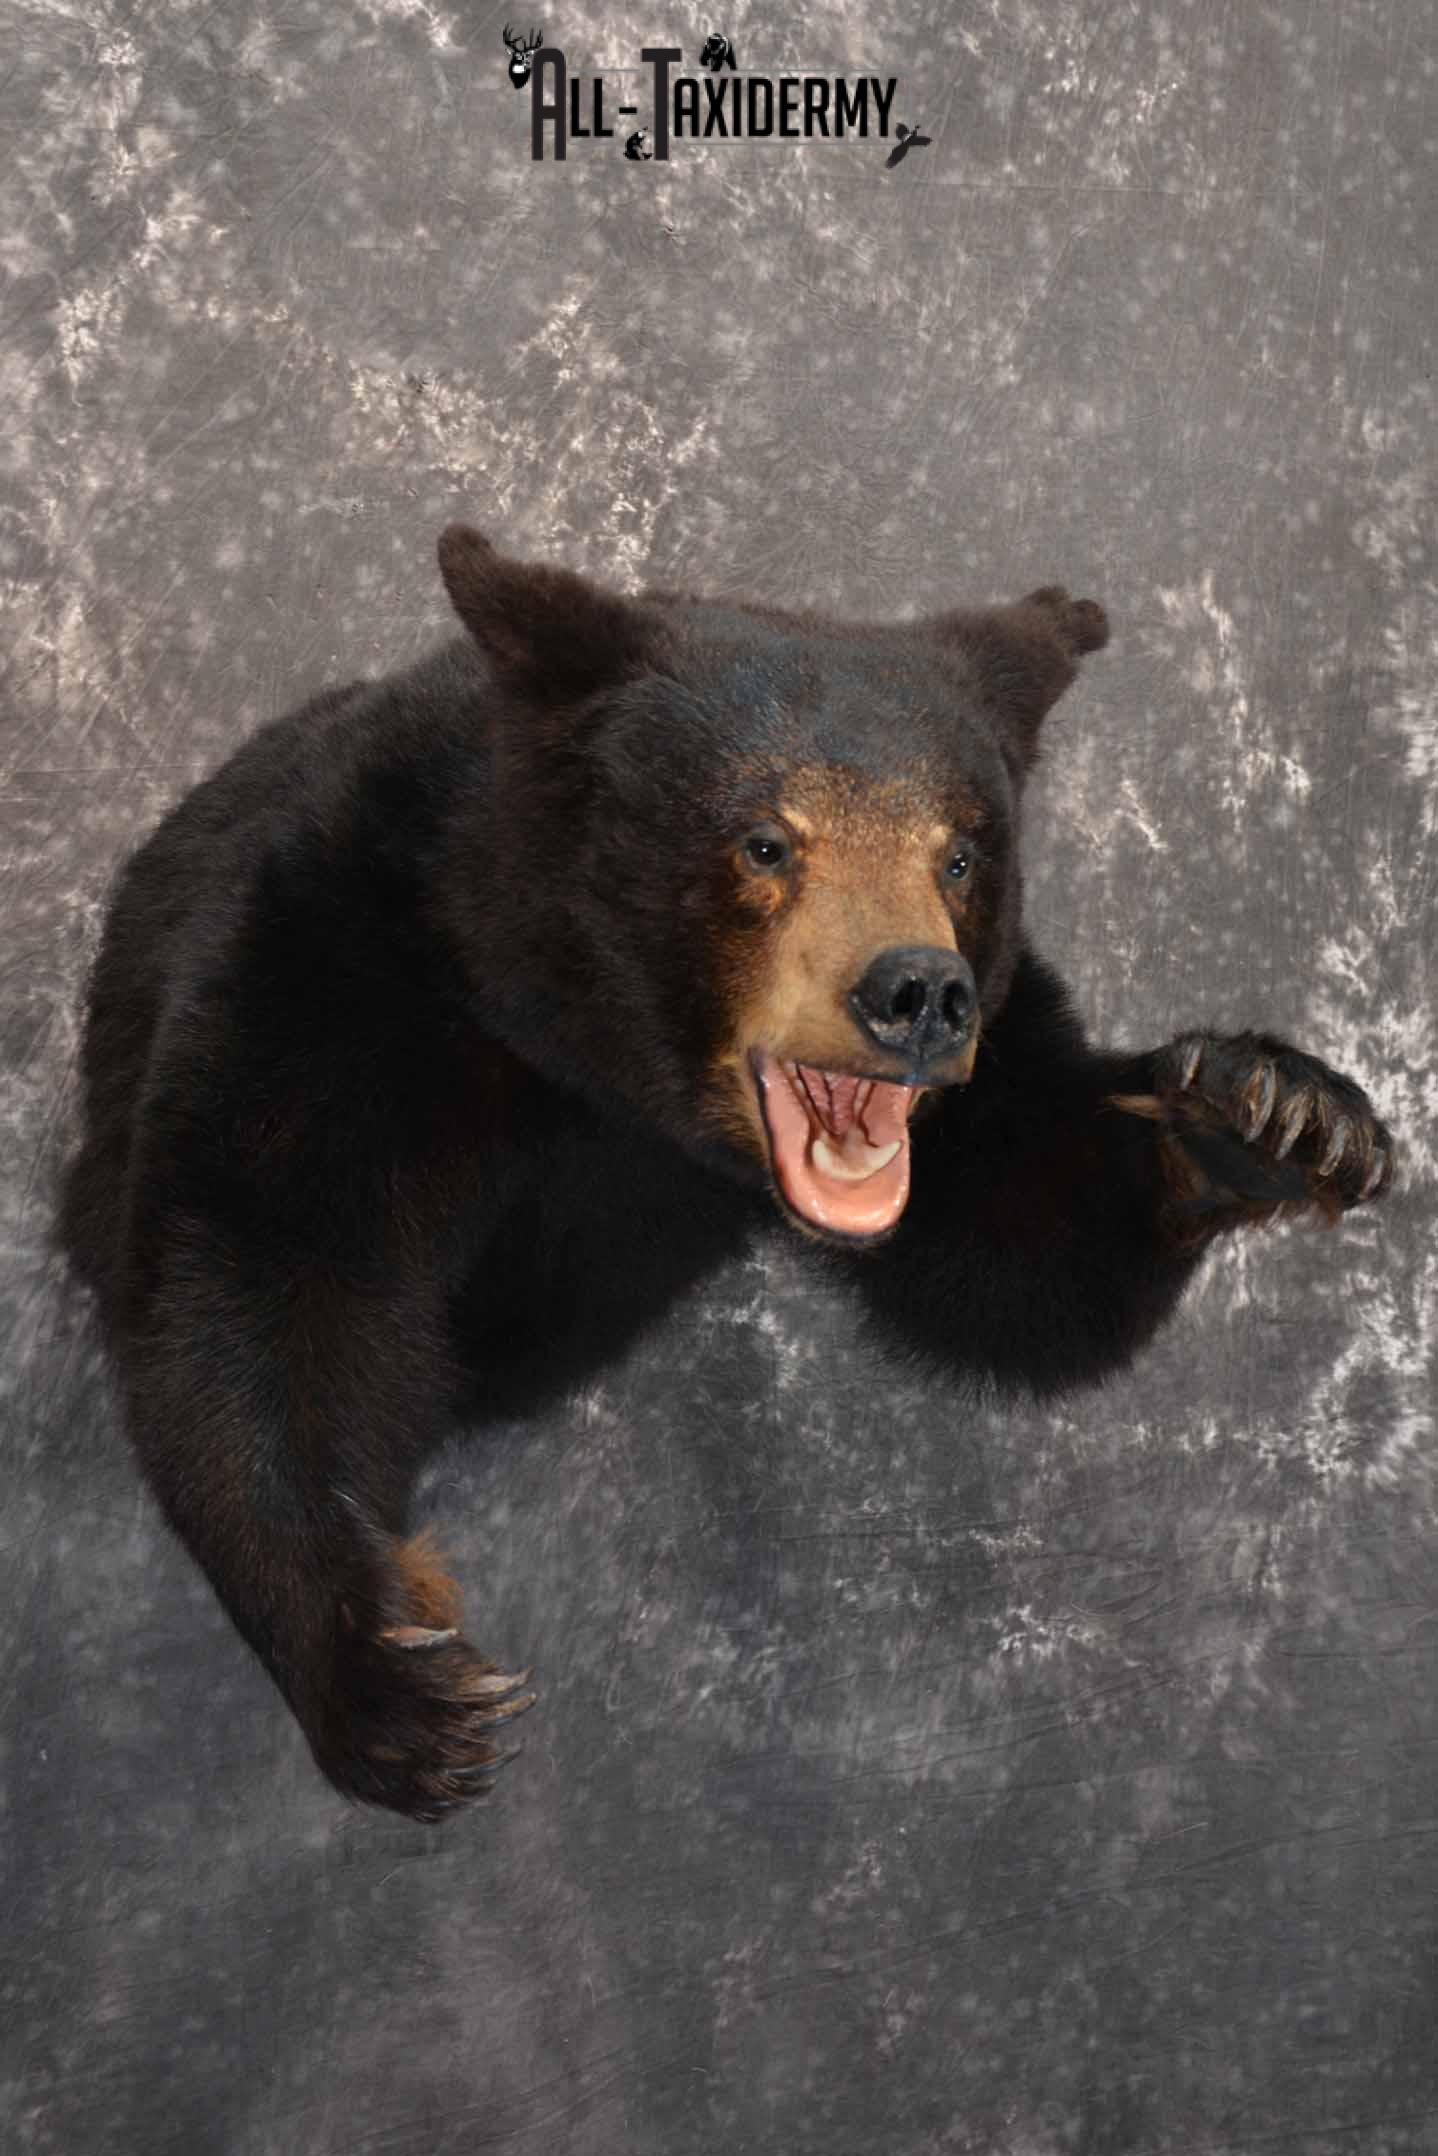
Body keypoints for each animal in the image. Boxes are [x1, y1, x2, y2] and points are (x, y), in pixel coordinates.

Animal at [59, 525, 1396, 1823]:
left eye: (960, 855)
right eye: (766, 840)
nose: (919, 993)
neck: (594, 1065)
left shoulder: (993, 1052)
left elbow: (1027, 1239)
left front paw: (1276, 1113)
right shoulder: (337, 967)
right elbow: (262, 1265)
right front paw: (399, 1676)